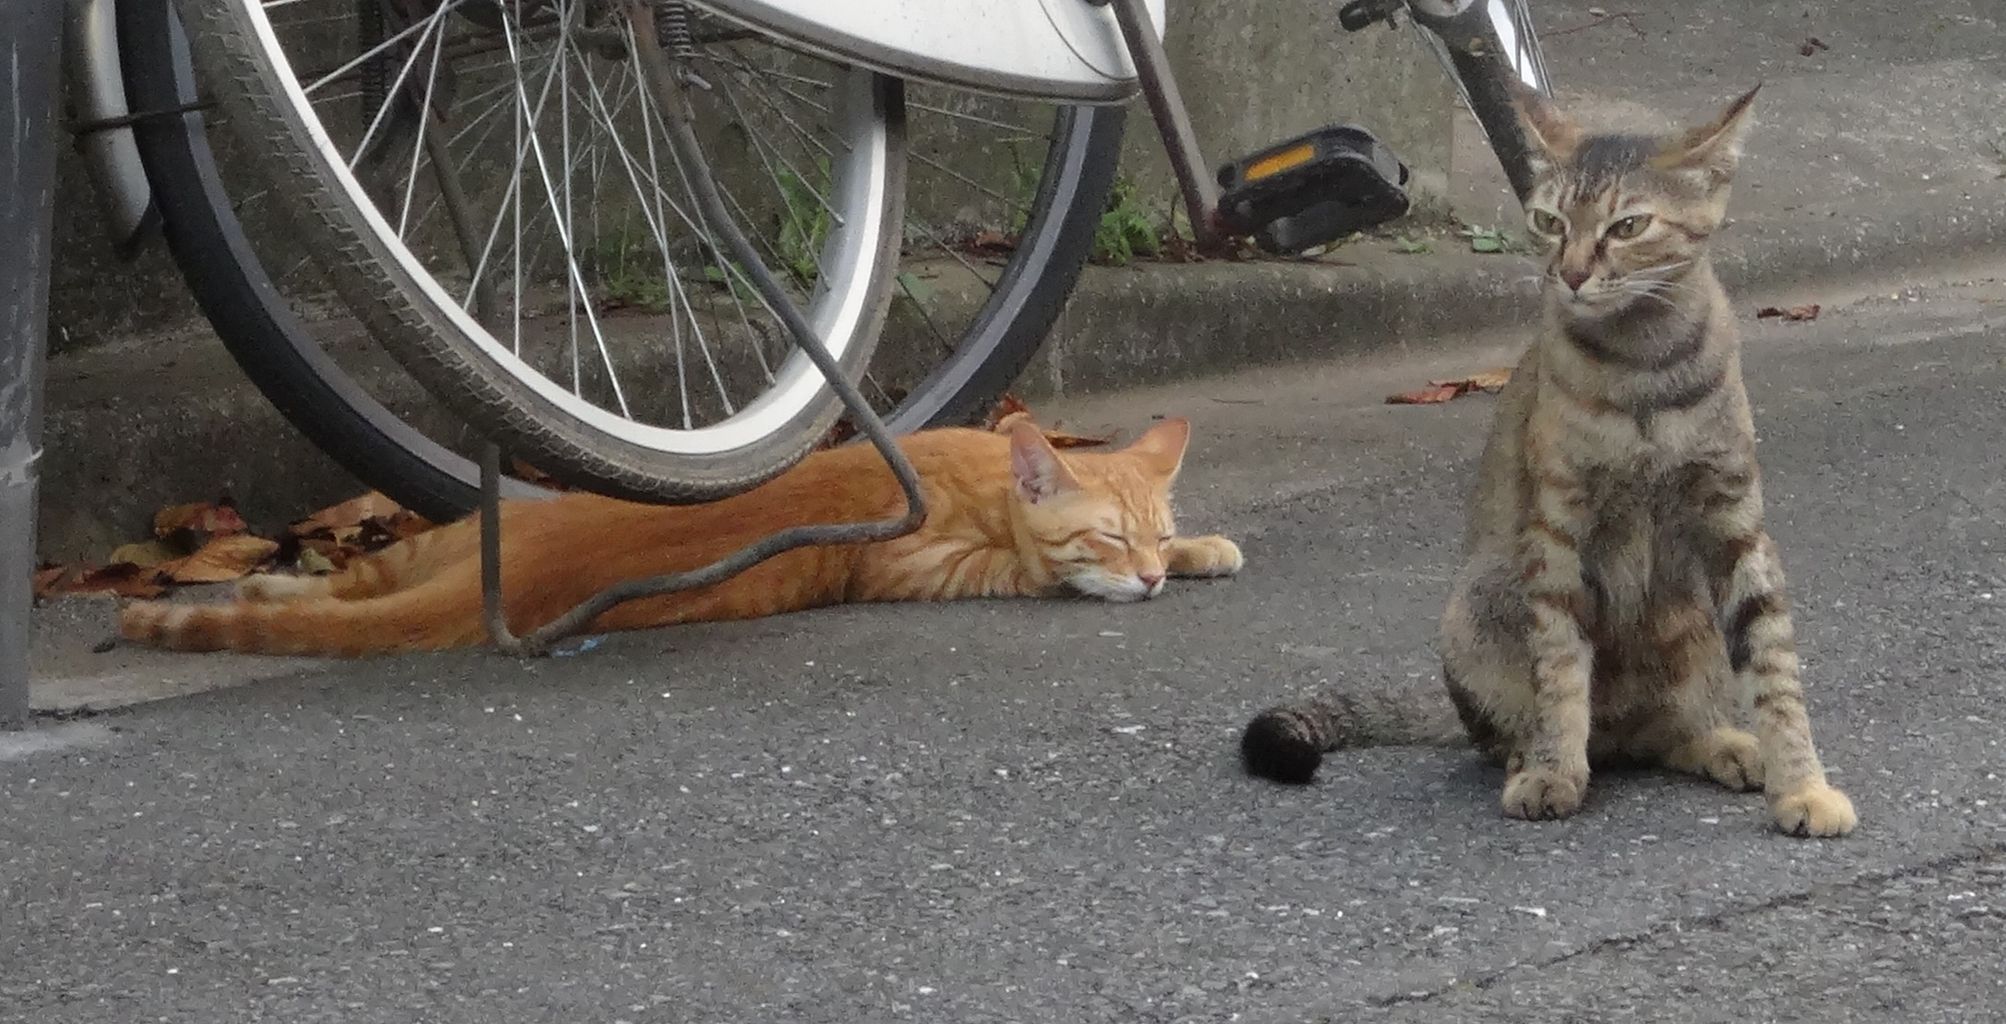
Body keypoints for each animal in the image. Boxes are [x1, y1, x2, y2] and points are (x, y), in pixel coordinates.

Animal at [1240, 83, 1857, 838]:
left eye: (1628, 227)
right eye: (1548, 220)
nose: (1571, 274)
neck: (1642, 366)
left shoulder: (1736, 521)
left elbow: (1774, 666)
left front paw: (1802, 783)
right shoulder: (1558, 530)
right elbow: (1560, 670)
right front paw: (1554, 772)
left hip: (1692, 619)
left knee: (1671, 728)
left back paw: (1721, 742)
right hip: (1477, 601)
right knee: (1518, 729)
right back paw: (1530, 755)